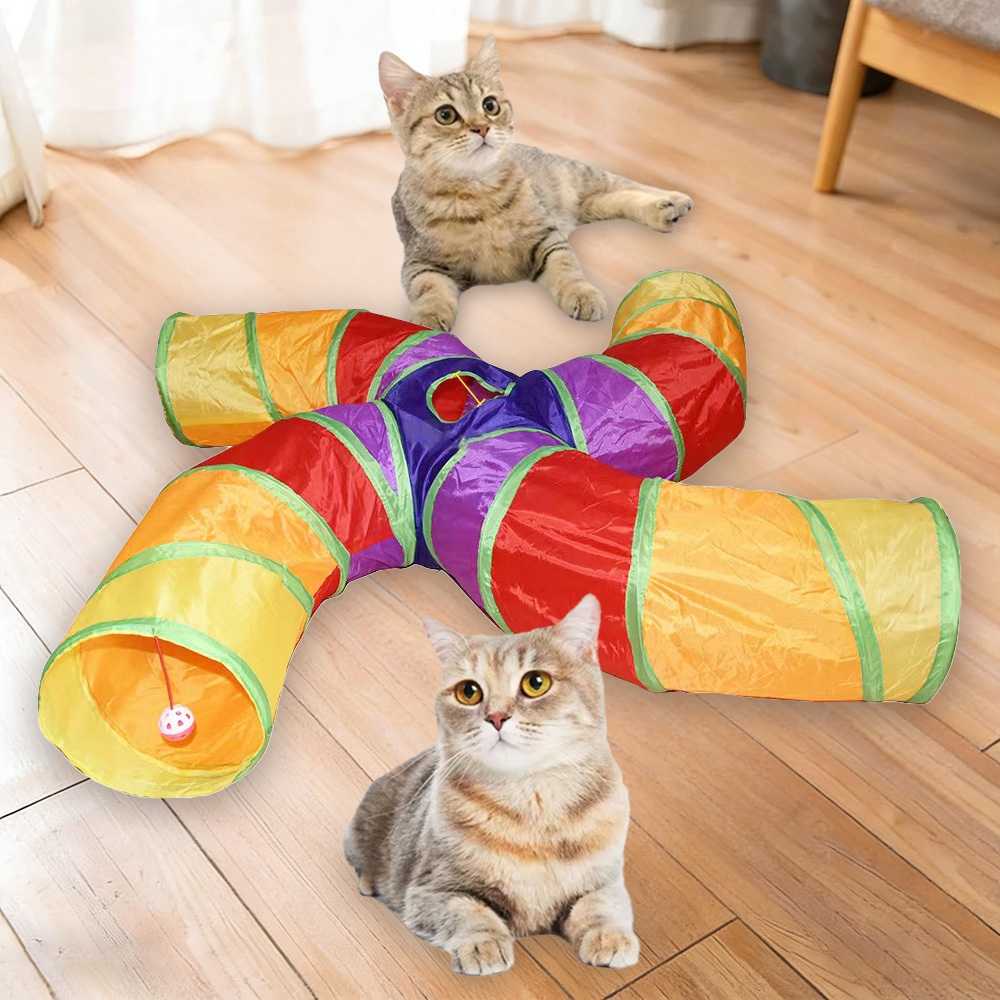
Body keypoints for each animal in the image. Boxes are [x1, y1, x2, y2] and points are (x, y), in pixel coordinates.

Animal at [343, 594, 638, 976]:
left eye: (536, 683)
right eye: (468, 692)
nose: (496, 717)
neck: (532, 803)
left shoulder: (605, 878)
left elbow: (601, 905)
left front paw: (610, 937)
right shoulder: (431, 890)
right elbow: (470, 912)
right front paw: (483, 944)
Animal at [378, 34, 692, 332]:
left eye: (490, 105)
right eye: (445, 115)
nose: (482, 127)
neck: (479, 195)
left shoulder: (546, 236)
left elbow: (566, 266)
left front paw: (581, 292)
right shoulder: (421, 264)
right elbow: (430, 290)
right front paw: (427, 318)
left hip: (581, 175)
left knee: (625, 184)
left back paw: (672, 200)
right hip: (586, 206)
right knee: (608, 199)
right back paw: (662, 210)